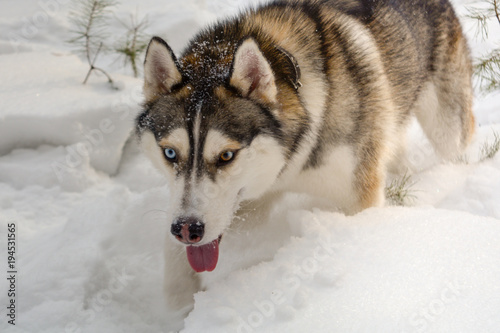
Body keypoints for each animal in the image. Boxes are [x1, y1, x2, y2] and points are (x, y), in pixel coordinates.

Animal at [135, 0, 474, 314]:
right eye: (170, 153)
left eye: (226, 155)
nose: (187, 229)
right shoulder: (245, 200)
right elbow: (180, 243)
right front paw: (179, 303)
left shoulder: (359, 197)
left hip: (447, 127)